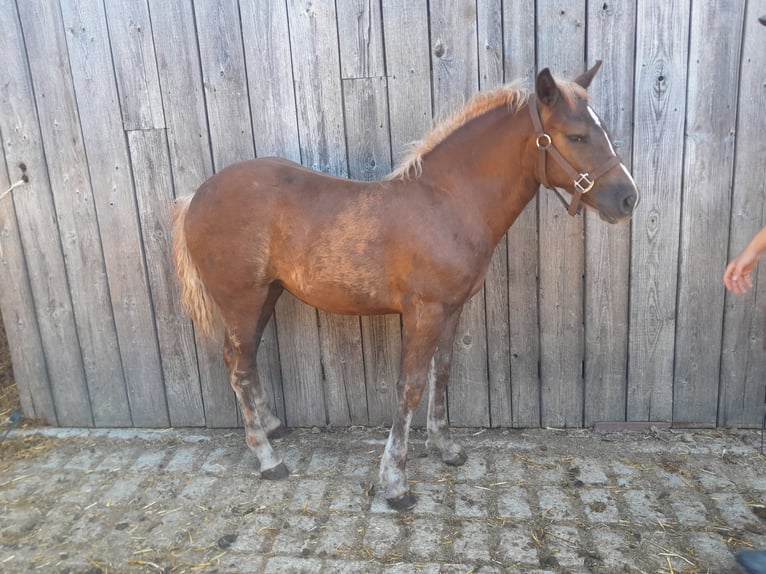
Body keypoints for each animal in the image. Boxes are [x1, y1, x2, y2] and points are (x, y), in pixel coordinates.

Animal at [172, 61, 639, 509]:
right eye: (577, 136)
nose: (628, 198)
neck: (447, 202)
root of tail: (196, 196)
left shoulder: (452, 309)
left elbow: (442, 373)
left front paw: (446, 448)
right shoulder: (424, 311)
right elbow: (410, 386)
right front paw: (395, 482)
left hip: (267, 294)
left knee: (246, 362)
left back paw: (272, 428)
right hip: (241, 300)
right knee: (238, 364)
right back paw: (267, 457)